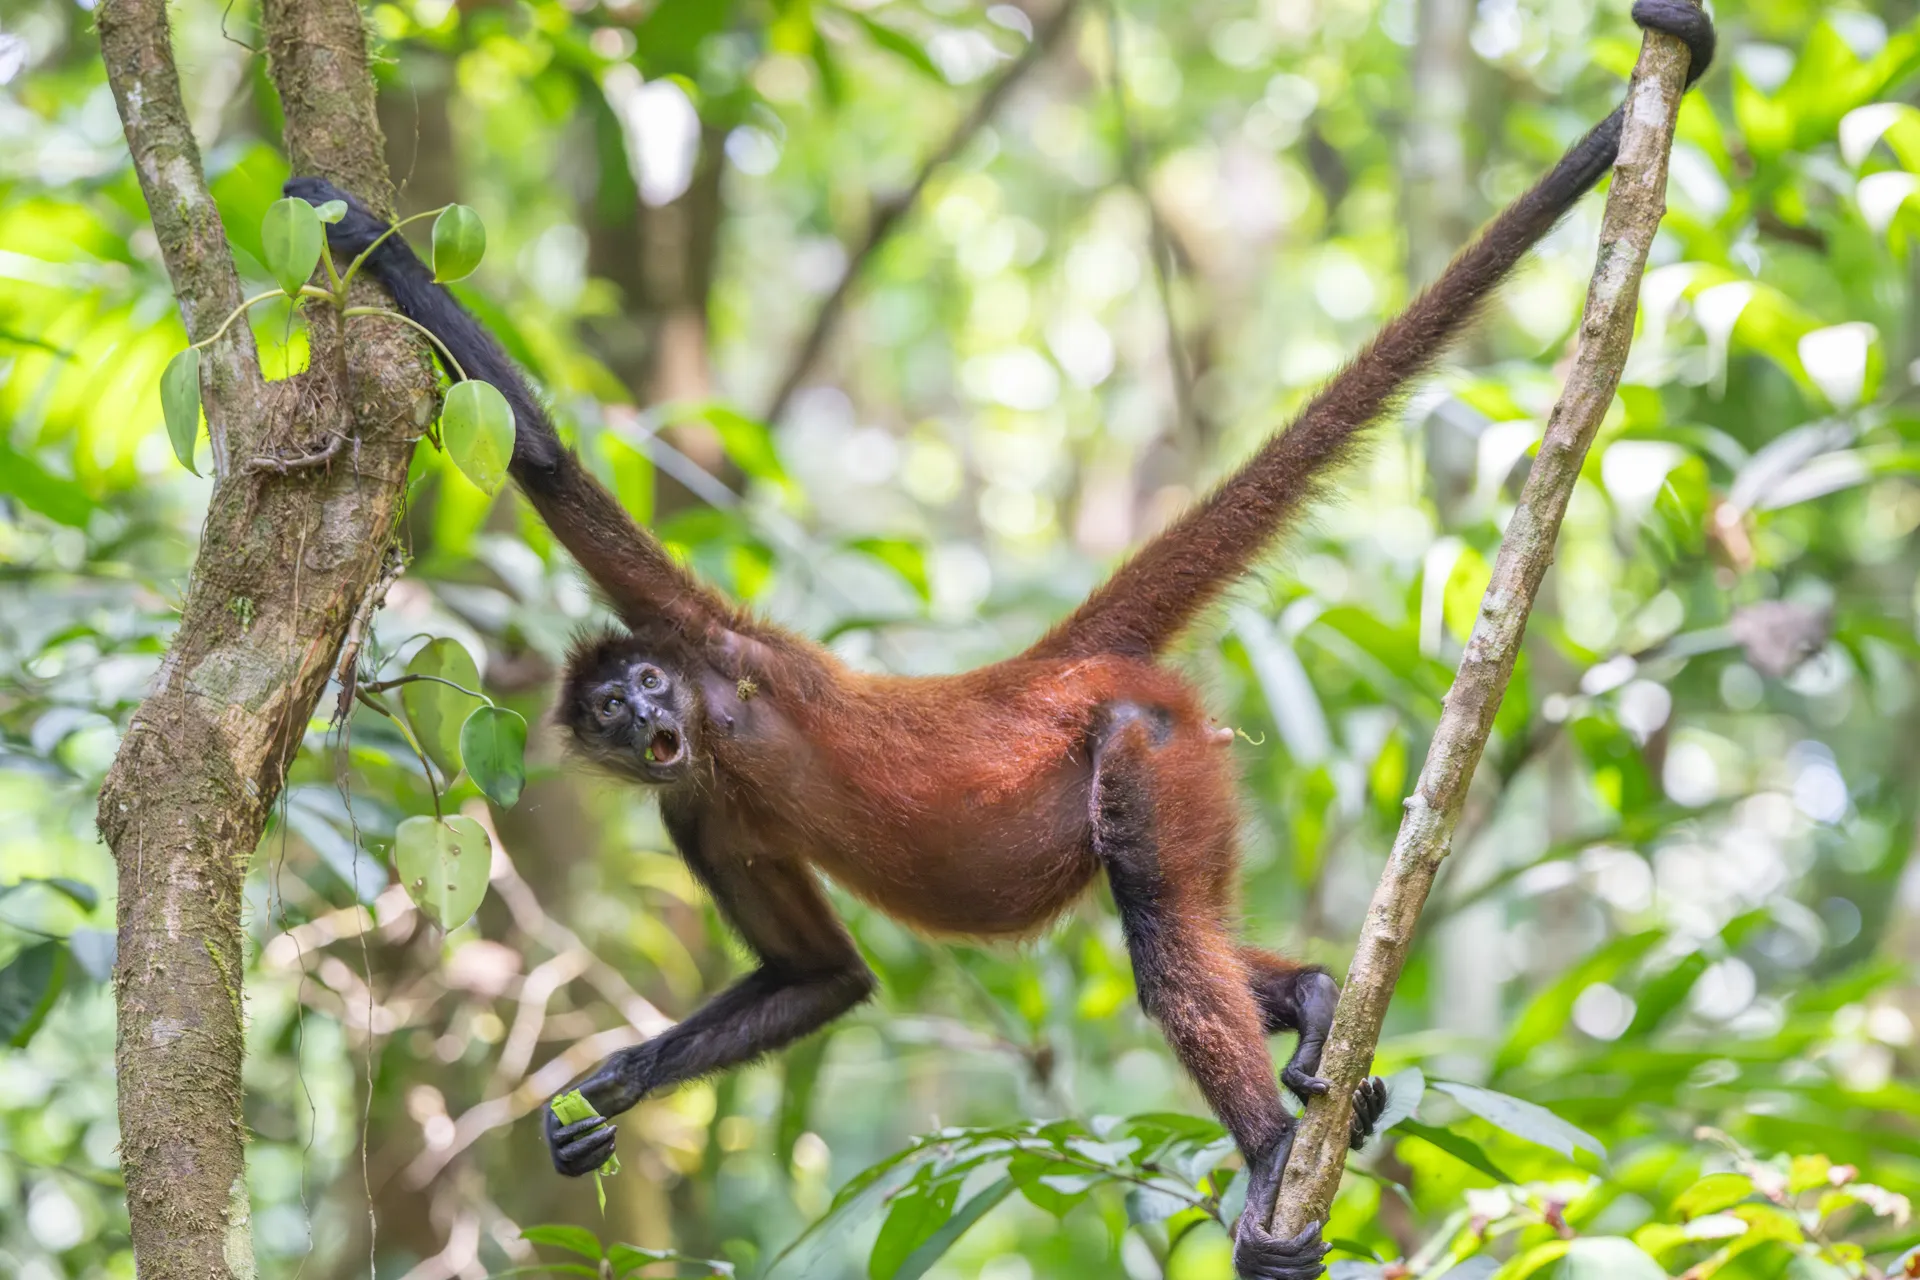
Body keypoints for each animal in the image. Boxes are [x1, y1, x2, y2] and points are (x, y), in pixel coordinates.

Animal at [287, 7, 1710, 1274]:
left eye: (643, 679)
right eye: (609, 720)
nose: (647, 721)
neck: (725, 738)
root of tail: (1048, 663)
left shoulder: (727, 649)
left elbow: (536, 452)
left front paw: (356, 231)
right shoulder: (690, 807)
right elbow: (822, 977)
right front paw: (602, 1094)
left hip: (1146, 740)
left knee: (1156, 919)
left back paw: (1265, 1148)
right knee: (1191, 922)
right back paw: (1311, 1002)